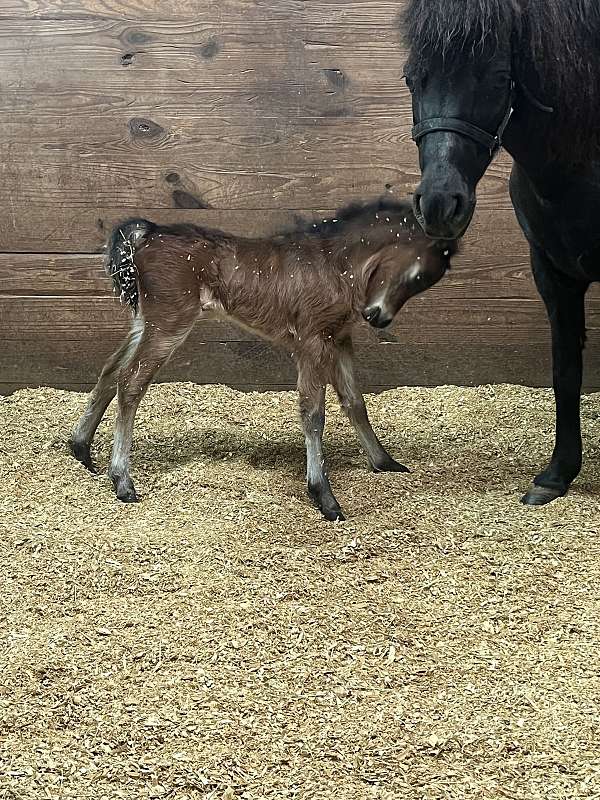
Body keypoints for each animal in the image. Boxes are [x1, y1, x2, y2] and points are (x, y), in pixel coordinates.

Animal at [404, 0, 600, 506]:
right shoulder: (552, 274)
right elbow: (565, 371)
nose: (439, 204)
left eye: (496, 79)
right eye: (413, 78)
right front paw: (556, 475)